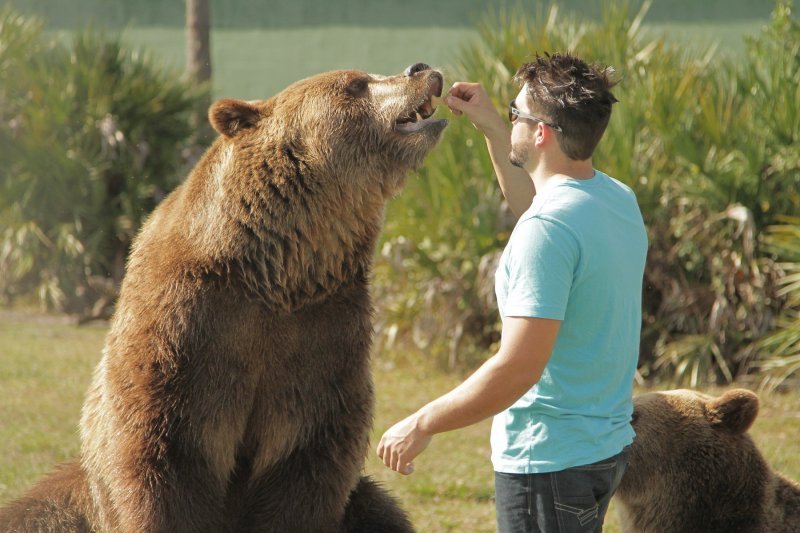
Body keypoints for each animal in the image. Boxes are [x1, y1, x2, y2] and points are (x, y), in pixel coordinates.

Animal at [0, 60, 450, 528]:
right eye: (355, 83)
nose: (420, 68)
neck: (277, 272)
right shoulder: (189, 329)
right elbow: (163, 457)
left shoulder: (324, 334)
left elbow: (308, 460)